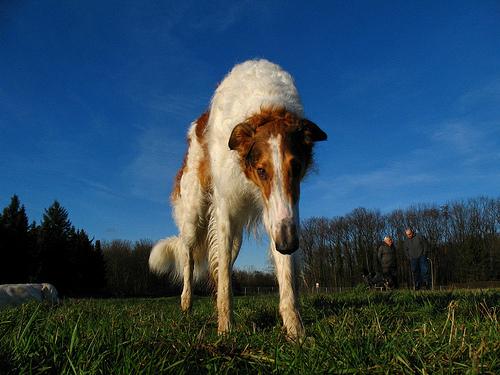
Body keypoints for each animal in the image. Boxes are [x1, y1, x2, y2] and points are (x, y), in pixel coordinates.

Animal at [150, 59, 326, 340]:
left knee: (217, 268)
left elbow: (286, 275)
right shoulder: (225, 211)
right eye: (261, 170)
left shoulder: (281, 212)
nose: (288, 245)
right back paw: (186, 303)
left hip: (236, 238)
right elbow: (224, 283)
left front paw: (296, 332)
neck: (264, 105)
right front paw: (225, 330)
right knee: (189, 258)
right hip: (194, 217)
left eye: (296, 167)